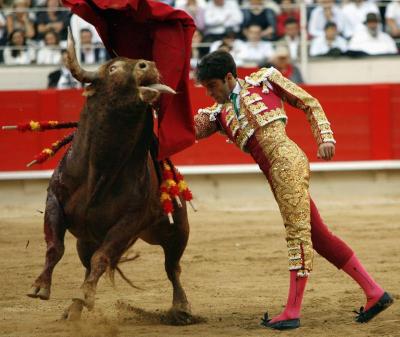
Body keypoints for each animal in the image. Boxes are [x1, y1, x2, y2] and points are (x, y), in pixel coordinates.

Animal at [26, 30, 192, 322]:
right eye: (113, 68)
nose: (148, 64)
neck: (101, 168)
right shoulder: (55, 200)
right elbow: (55, 246)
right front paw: (40, 287)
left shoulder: (129, 221)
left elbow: (102, 257)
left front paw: (83, 295)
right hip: (86, 239)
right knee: (85, 265)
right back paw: (72, 311)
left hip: (177, 230)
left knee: (172, 268)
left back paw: (181, 307)